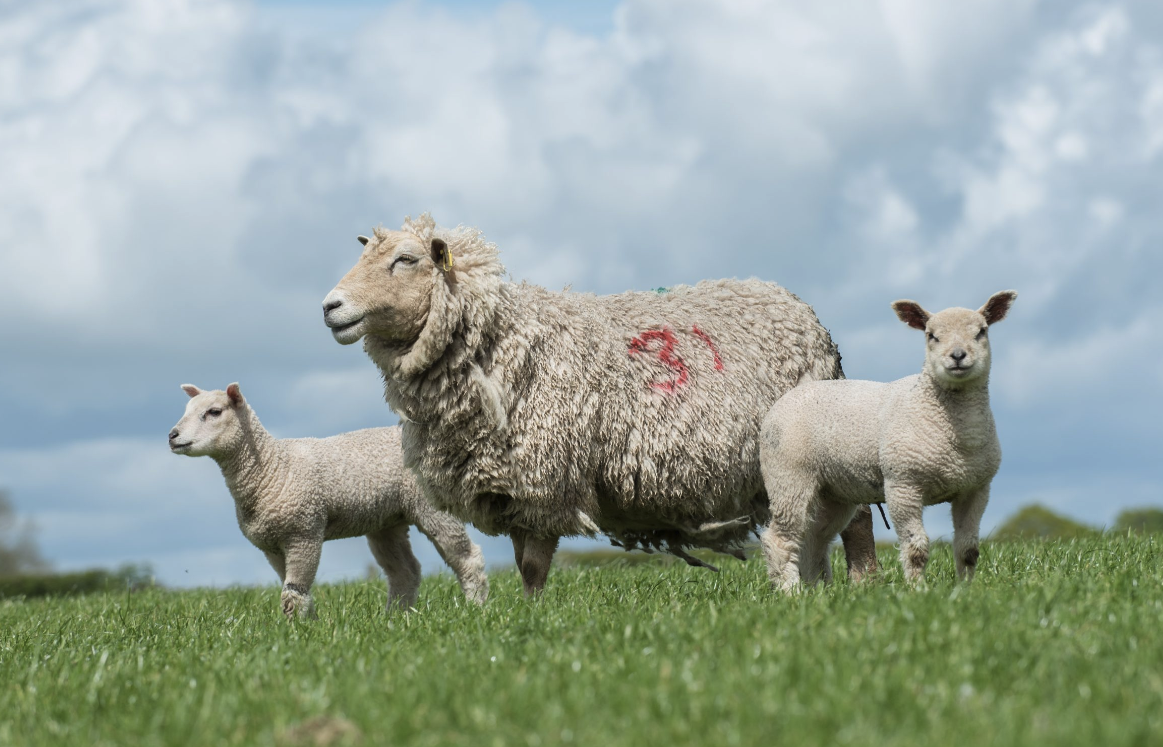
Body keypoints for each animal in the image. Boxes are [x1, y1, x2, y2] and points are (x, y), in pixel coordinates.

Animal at [167, 381, 486, 614]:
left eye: (214, 412)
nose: (172, 435)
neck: (271, 467)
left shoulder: (304, 531)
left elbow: (293, 593)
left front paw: (297, 631)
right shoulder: (272, 545)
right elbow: (293, 590)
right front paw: (305, 624)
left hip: (431, 506)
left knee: (467, 558)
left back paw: (475, 610)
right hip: (387, 520)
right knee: (405, 572)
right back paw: (395, 618)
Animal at [323, 211, 874, 591]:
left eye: (405, 260)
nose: (330, 306)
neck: (501, 339)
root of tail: (807, 317)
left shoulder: (545, 480)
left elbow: (533, 566)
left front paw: (534, 619)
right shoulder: (513, 487)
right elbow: (524, 567)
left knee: (858, 520)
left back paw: (861, 586)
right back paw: (823, 586)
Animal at [758, 289, 1014, 586]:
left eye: (981, 332)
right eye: (931, 335)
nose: (958, 356)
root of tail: (782, 401)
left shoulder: (975, 489)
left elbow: (968, 549)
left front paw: (965, 589)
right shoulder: (902, 484)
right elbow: (916, 548)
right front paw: (918, 588)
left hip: (833, 491)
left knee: (814, 539)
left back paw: (819, 589)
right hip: (789, 475)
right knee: (780, 538)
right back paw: (791, 589)